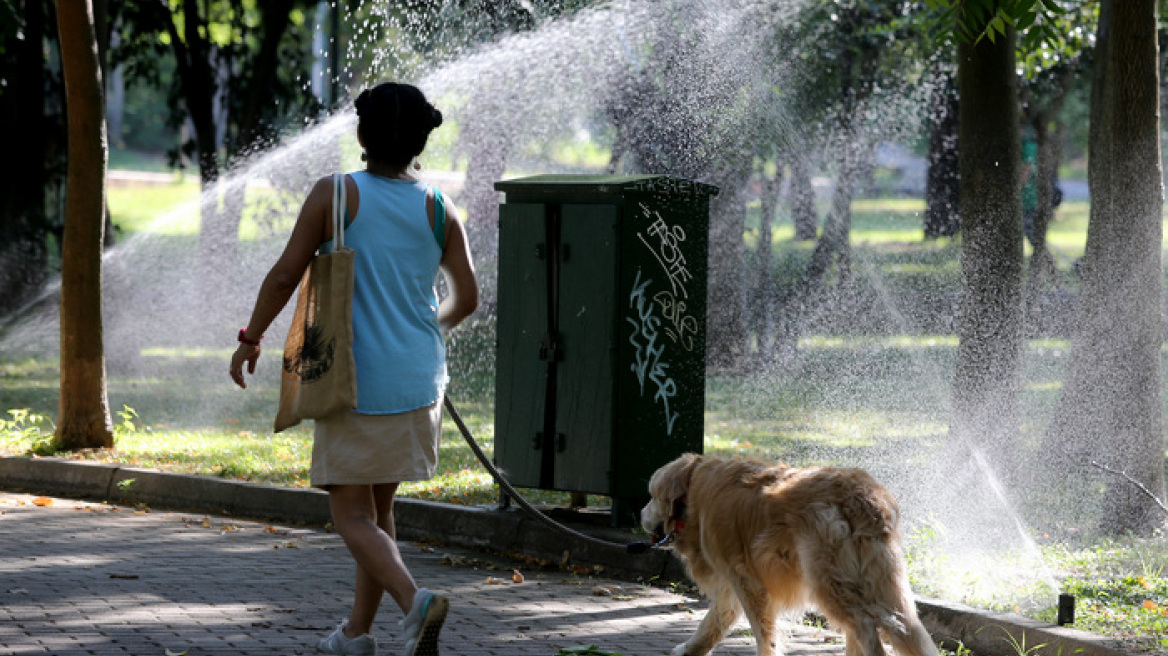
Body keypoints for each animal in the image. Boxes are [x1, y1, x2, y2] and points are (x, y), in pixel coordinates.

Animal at [640, 452, 939, 653]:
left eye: (652, 497)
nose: (641, 515)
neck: (693, 494)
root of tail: (864, 499)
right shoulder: (732, 585)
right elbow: (714, 623)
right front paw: (689, 649)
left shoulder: (746, 581)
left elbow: (763, 634)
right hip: (880, 583)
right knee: (903, 630)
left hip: (828, 582)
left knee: (865, 628)